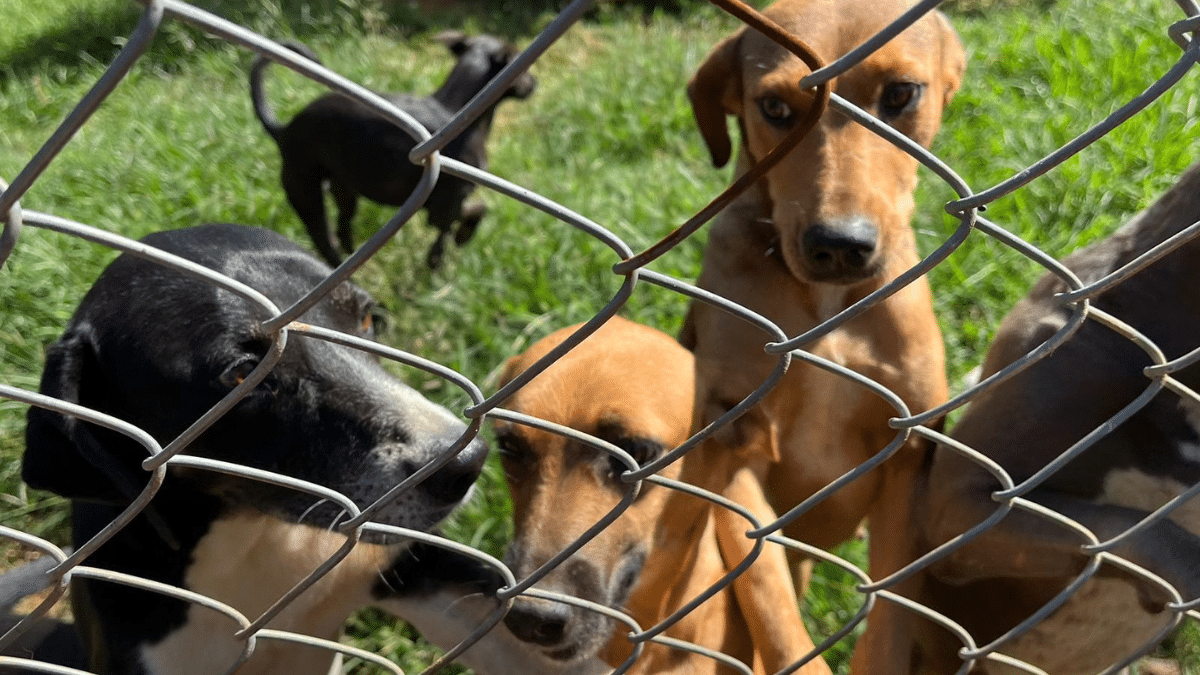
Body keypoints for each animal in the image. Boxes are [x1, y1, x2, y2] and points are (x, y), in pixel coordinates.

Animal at [248, 30, 535, 267]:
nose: (535, 82)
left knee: (342, 226)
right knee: (325, 241)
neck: (458, 109)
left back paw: (352, 251)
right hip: (306, 194)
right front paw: (451, 247)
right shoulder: (445, 205)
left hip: (344, 188)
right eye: (524, 69)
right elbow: (474, 211)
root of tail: (283, 130)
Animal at [686, 0, 964, 662]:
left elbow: (890, 613)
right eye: (775, 107)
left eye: (901, 94)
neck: (827, 312)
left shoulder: (907, 453)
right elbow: (771, 604)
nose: (839, 245)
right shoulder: (733, 446)